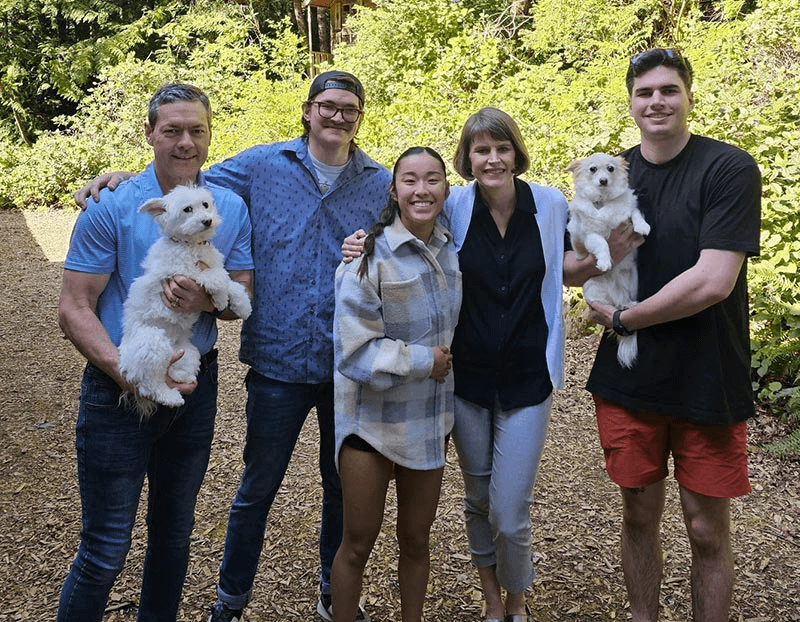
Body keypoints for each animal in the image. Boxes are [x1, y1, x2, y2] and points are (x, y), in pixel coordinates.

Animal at [116, 186, 250, 420]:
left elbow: (229, 280)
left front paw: (242, 304)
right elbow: (218, 277)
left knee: (173, 372)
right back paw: (171, 397)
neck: (190, 244)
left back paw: (180, 378)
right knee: (150, 384)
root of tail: (124, 360)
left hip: (188, 354)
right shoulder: (182, 273)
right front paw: (220, 297)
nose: (207, 220)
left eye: (205, 204)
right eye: (187, 209)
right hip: (153, 343)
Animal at [568, 153, 648, 368]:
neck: (603, 202)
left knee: (622, 301)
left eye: (611, 169)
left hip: (632, 282)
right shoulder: (590, 236)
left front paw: (643, 226)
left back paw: (628, 305)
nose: (603, 180)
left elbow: (635, 213)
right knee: (611, 305)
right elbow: (602, 243)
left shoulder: (627, 212)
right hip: (596, 290)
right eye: (593, 169)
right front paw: (604, 261)